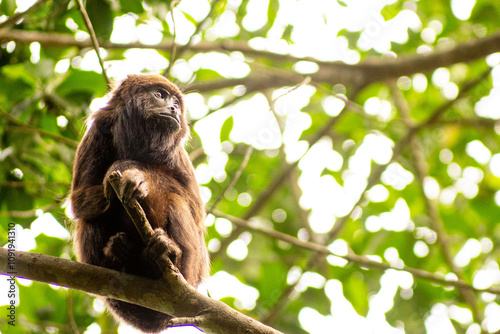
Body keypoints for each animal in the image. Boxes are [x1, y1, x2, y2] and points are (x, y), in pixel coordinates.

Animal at [70, 73, 209, 332]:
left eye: (177, 102)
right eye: (160, 95)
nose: (174, 108)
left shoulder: (178, 155)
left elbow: (194, 210)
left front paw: (133, 172)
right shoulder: (97, 133)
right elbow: (79, 200)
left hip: (191, 274)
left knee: (177, 202)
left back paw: (169, 253)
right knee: (90, 217)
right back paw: (114, 254)